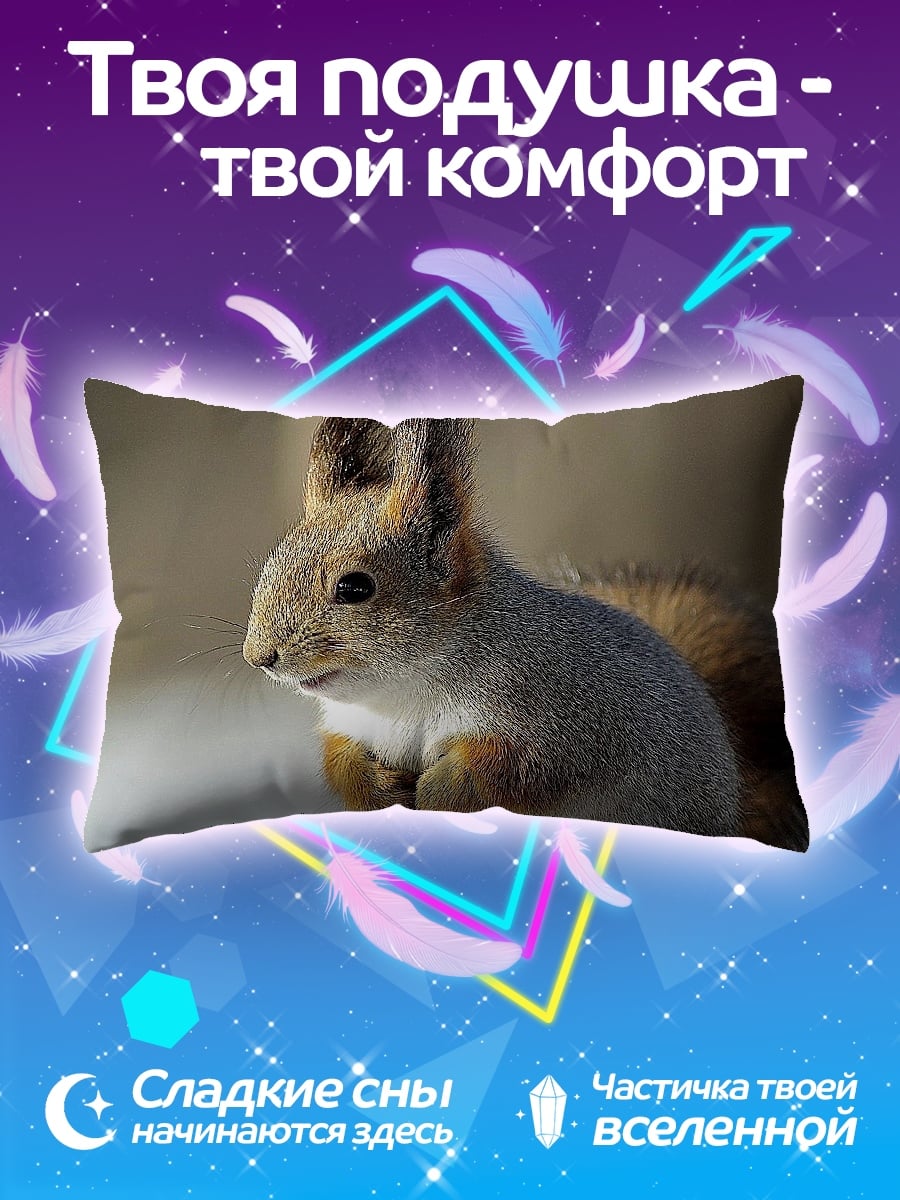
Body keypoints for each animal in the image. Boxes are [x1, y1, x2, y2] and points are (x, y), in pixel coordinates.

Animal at [242, 416, 809, 851]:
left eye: (354, 587)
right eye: (272, 563)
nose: (258, 657)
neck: (404, 693)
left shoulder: (567, 724)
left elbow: (517, 771)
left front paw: (445, 788)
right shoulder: (350, 726)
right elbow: (343, 764)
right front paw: (376, 785)